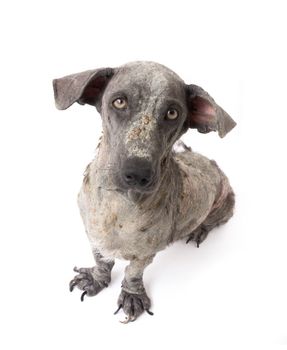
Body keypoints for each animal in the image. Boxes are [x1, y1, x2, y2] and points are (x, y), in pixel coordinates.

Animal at [52, 60, 236, 322]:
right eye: (119, 101)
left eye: (172, 113)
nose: (137, 173)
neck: (117, 204)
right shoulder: (94, 236)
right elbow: (102, 260)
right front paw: (96, 279)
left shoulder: (145, 253)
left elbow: (132, 272)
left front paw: (132, 296)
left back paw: (199, 230)